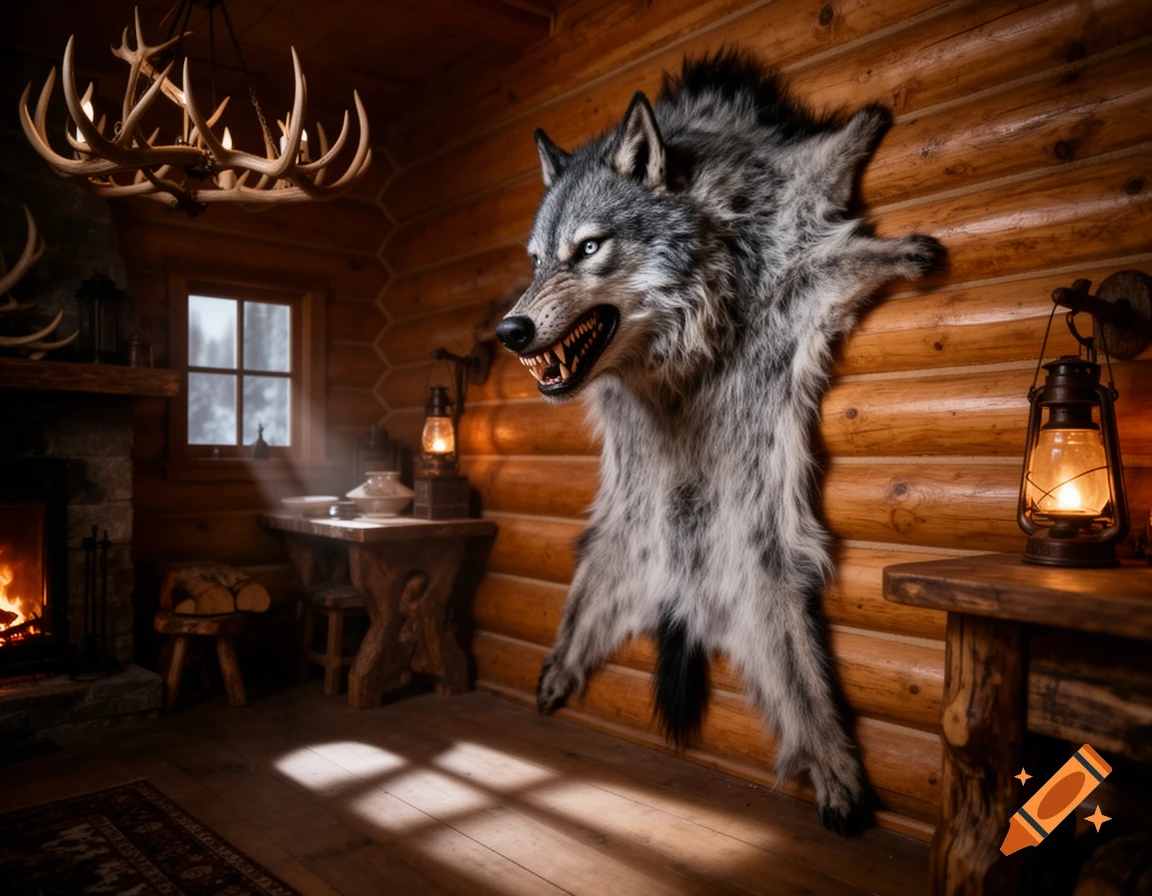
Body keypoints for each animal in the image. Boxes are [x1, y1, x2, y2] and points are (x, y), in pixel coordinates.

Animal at [494, 51, 943, 833]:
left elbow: (832, 185)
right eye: (536, 261)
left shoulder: (798, 263)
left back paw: (838, 778)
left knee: (807, 706)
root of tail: (687, 592)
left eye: (589, 248)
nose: (508, 331)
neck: (686, 344)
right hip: (612, 549)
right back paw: (558, 670)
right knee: (578, 619)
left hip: (774, 586)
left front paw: (868, 136)